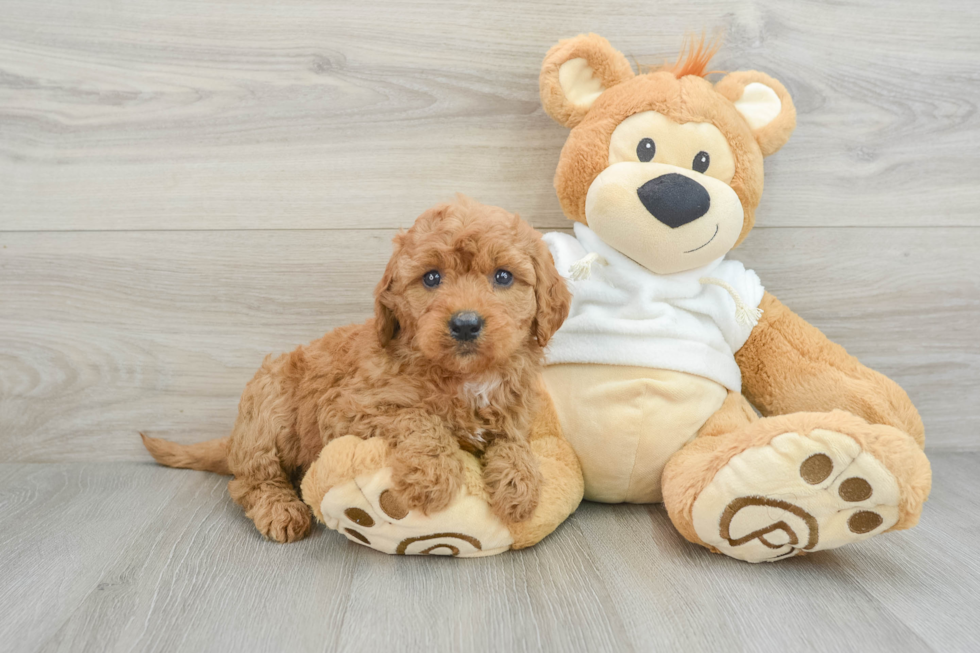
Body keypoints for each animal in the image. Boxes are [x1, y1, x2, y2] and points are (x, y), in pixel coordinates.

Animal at [139, 196, 572, 544]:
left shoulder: (513, 411)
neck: (464, 377)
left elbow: (514, 443)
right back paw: (281, 510)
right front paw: (433, 475)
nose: (465, 324)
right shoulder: (348, 407)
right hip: (268, 406)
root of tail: (234, 438)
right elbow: (420, 419)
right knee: (250, 481)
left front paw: (520, 487)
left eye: (503, 276)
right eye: (432, 277)